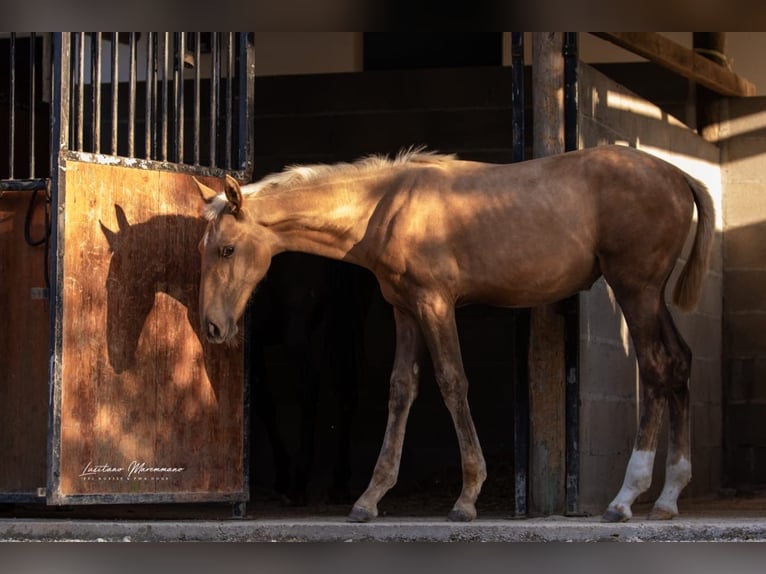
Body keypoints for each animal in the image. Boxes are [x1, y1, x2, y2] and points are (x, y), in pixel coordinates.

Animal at [195, 146, 716, 524]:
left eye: (227, 249)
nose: (213, 327)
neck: (386, 206)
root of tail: (678, 175)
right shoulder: (405, 310)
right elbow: (400, 390)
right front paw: (370, 497)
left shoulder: (435, 304)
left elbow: (451, 382)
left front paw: (467, 497)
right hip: (651, 296)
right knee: (680, 362)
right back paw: (669, 496)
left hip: (635, 290)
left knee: (655, 369)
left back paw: (626, 497)